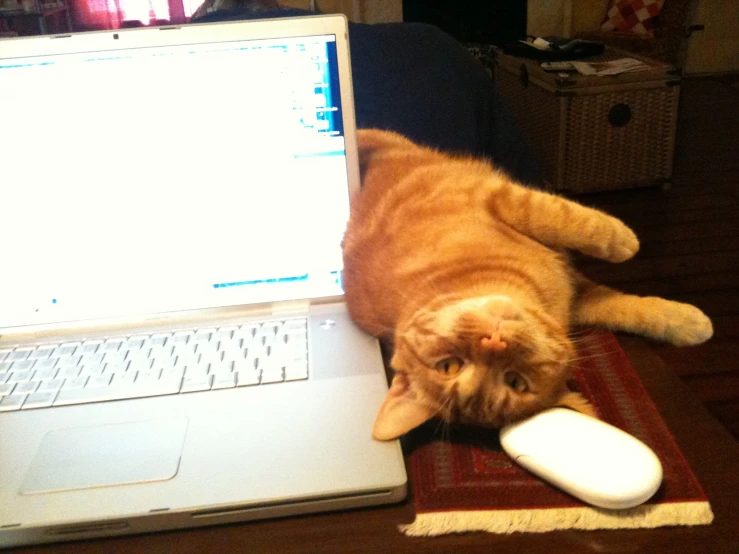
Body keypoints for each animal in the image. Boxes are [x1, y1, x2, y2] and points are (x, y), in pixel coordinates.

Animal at [344, 128, 712, 440]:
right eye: (515, 382)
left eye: (448, 365)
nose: (493, 341)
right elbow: (565, 221)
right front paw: (624, 242)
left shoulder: (496, 201)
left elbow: (575, 234)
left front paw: (683, 321)